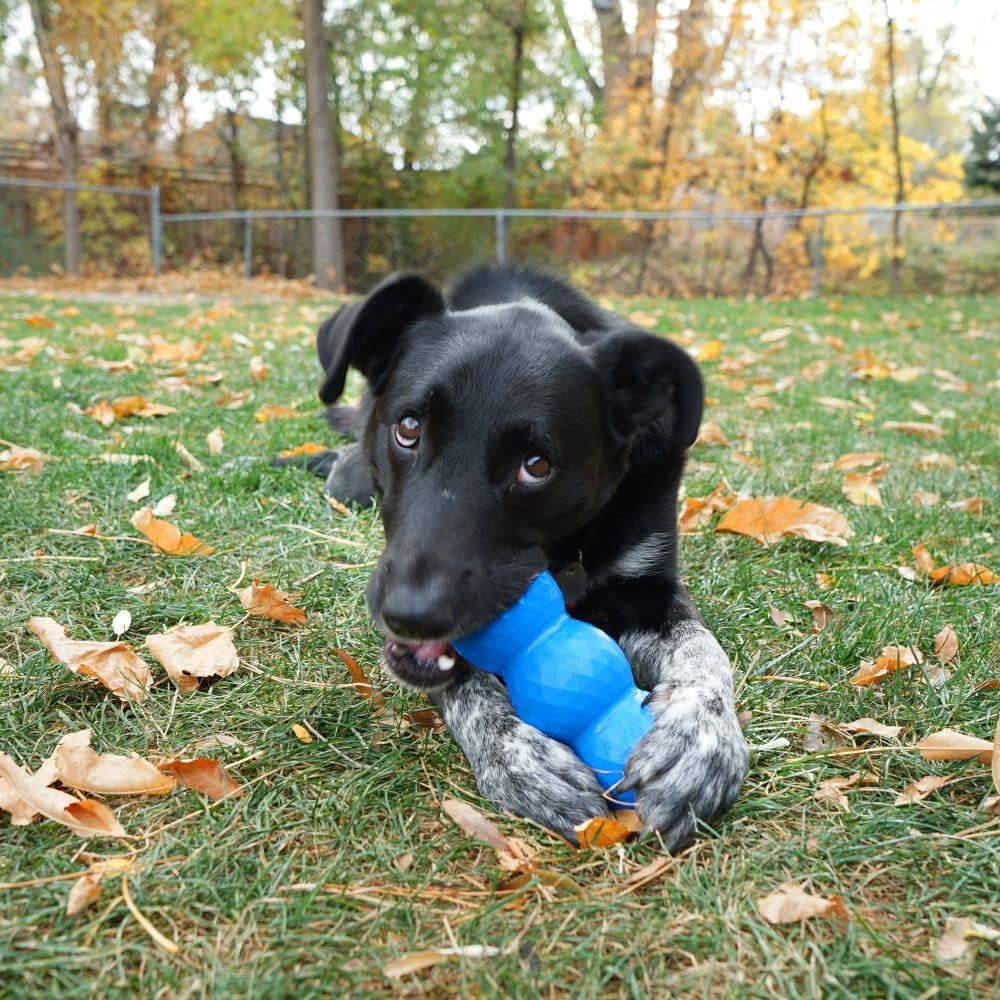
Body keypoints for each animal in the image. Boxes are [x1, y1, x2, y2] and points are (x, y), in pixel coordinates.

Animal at [308, 266, 748, 852]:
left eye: (536, 466)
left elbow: (704, 652)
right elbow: (468, 685)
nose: (409, 615)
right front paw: (520, 757)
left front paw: (700, 738)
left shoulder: (649, 588)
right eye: (409, 429)